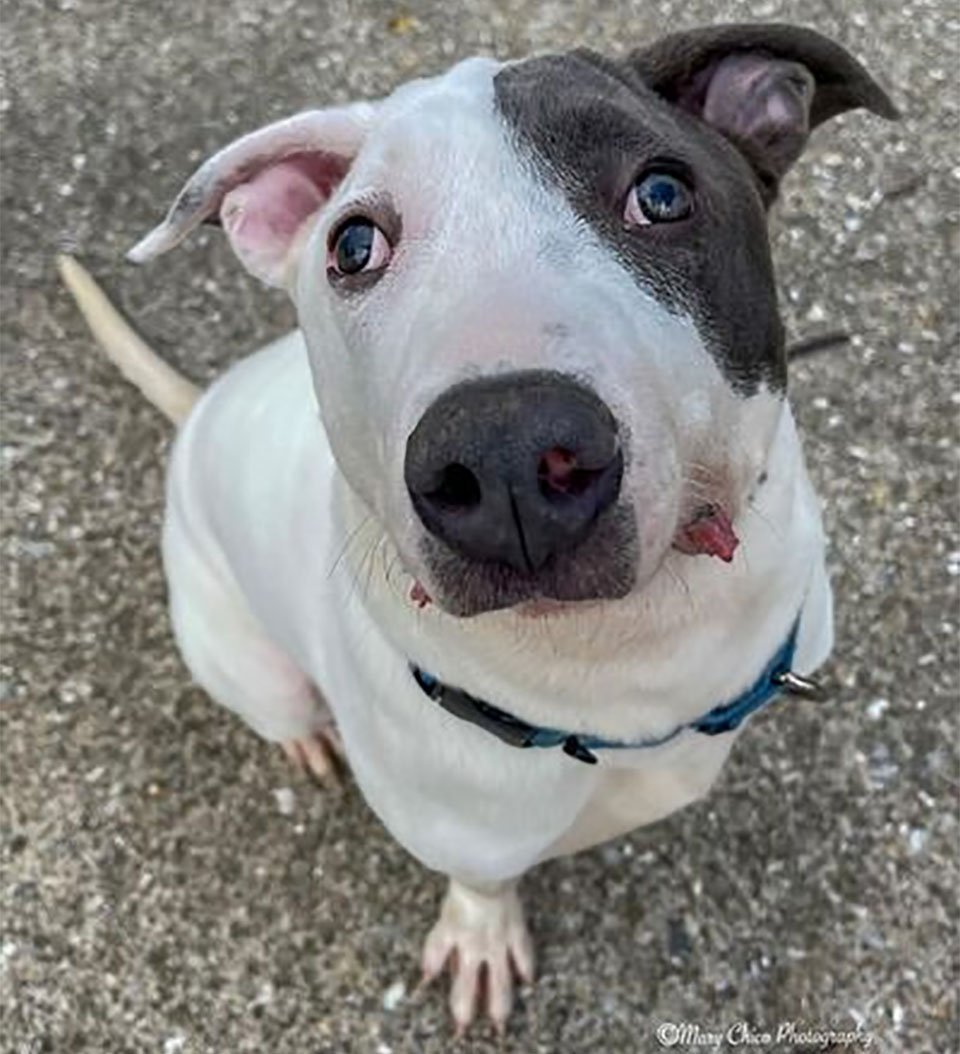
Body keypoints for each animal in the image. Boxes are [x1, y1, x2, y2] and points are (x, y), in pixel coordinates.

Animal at [61, 22, 902, 1028]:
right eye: (353, 245)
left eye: (662, 193)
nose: (507, 456)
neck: (623, 663)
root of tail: (195, 417)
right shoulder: (462, 830)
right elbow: (482, 879)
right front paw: (481, 935)